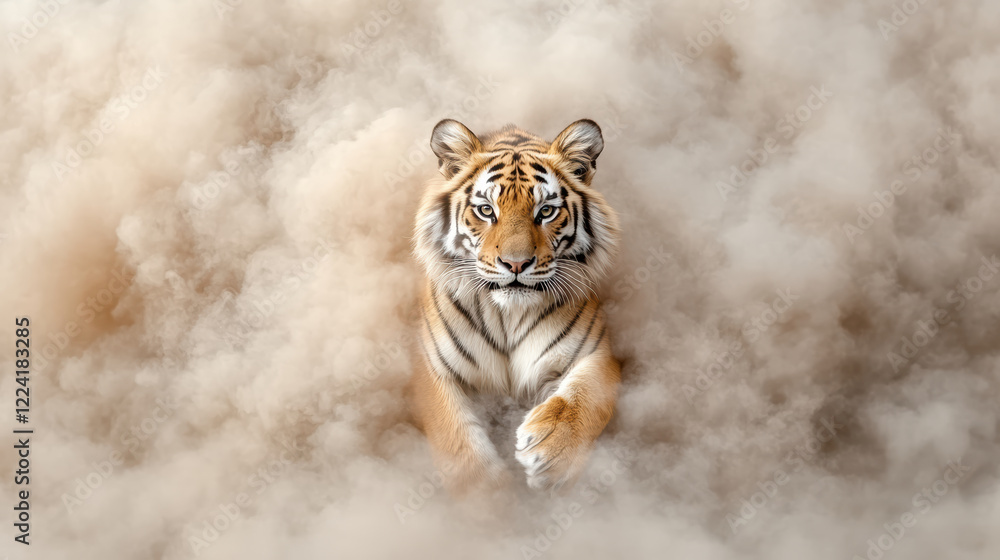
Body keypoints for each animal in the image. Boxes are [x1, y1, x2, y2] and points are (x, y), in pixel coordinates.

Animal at [410, 118, 621, 493]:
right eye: (486, 210)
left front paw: (550, 450)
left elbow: (587, 396)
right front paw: (494, 499)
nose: (516, 264)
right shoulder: (431, 367)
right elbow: (458, 444)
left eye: (546, 211)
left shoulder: (598, 354)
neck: (506, 315)